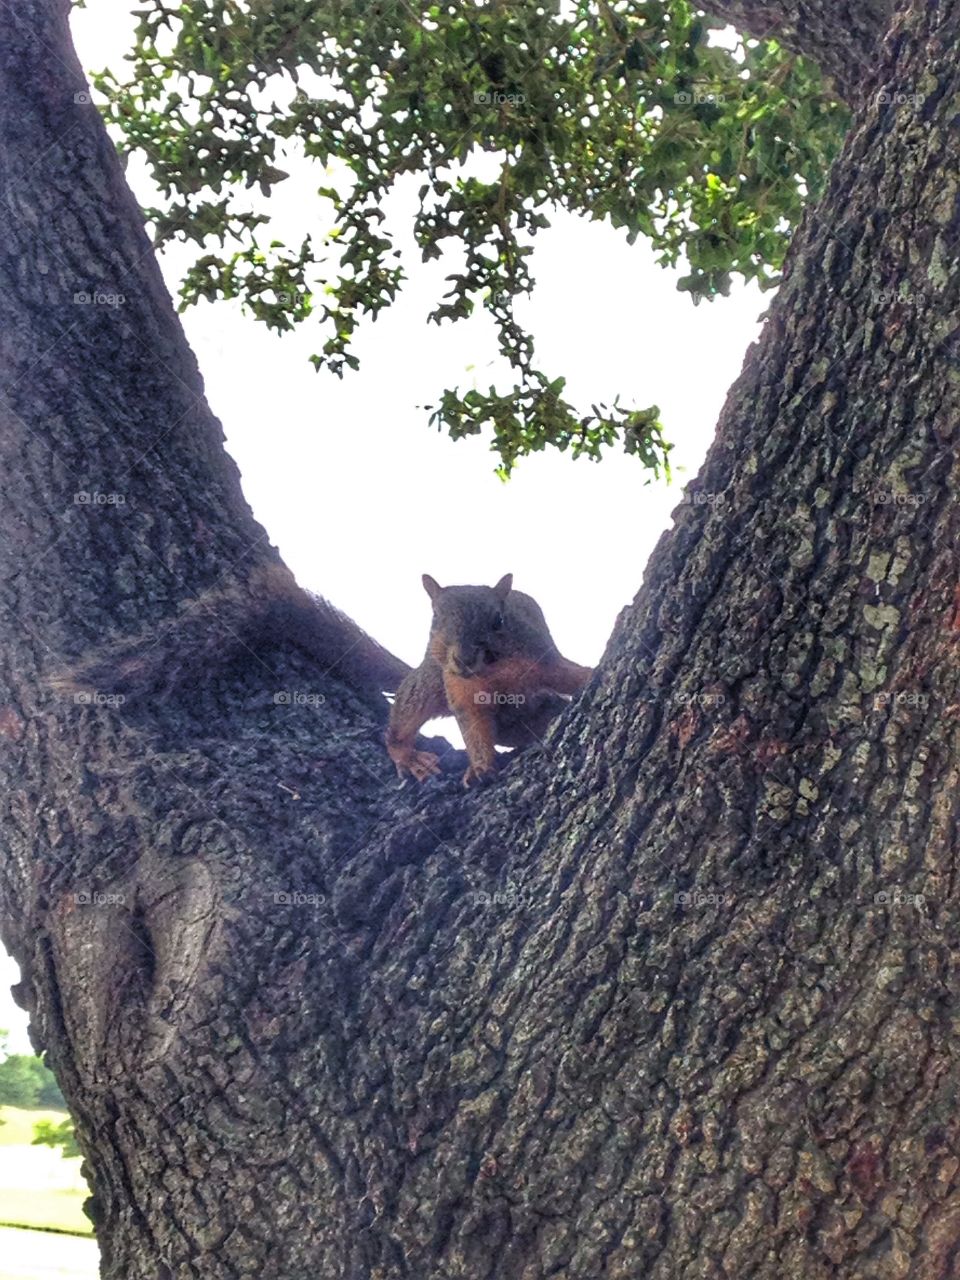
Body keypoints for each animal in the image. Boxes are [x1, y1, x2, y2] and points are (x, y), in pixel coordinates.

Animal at [386, 573, 591, 788]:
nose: (464, 659)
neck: (492, 672)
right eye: (435, 617)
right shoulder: (461, 692)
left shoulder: (544, 661)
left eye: (498, 620)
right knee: (402, 719)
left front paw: (592, 675)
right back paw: (410, 758)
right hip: (429, 680)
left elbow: (570, 675)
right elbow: (474, 730)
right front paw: (480, 767)